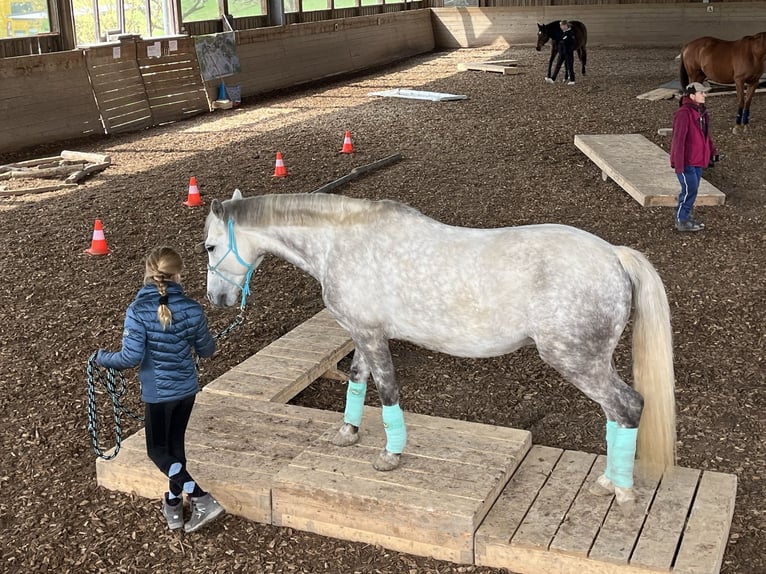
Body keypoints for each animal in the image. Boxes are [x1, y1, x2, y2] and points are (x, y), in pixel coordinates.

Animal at [203, 190, 676, 511]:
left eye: (209, 246)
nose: (217, 299)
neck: (343, 242)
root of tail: (614, 255)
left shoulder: (372, 336)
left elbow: (387, 392)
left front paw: (390, 456)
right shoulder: (362, 333)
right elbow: (357, 381)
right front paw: (348, 433)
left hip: (576, 360)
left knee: (628, 407)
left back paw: (622, 490)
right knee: (615, 414)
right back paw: (608, 482)